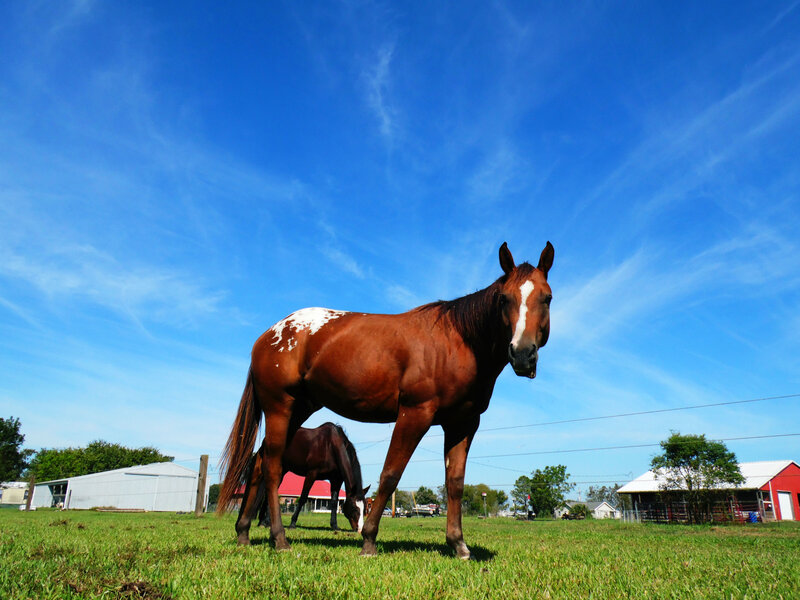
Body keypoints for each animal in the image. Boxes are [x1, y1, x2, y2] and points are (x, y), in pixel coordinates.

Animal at [217, 241, 554, 559]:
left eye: (547, 298)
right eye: (504, 298)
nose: (522, 354)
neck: (457, 342)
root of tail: (269, 334)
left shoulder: (463, 423)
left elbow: (455, 483)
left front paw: (458, 544)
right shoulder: (415, 414)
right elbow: (391, 474)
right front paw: (368, 541)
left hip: (298, 409)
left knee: (259, 463)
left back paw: (243, 532)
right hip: (279, 407)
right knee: (272, 467)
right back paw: (279, 538)